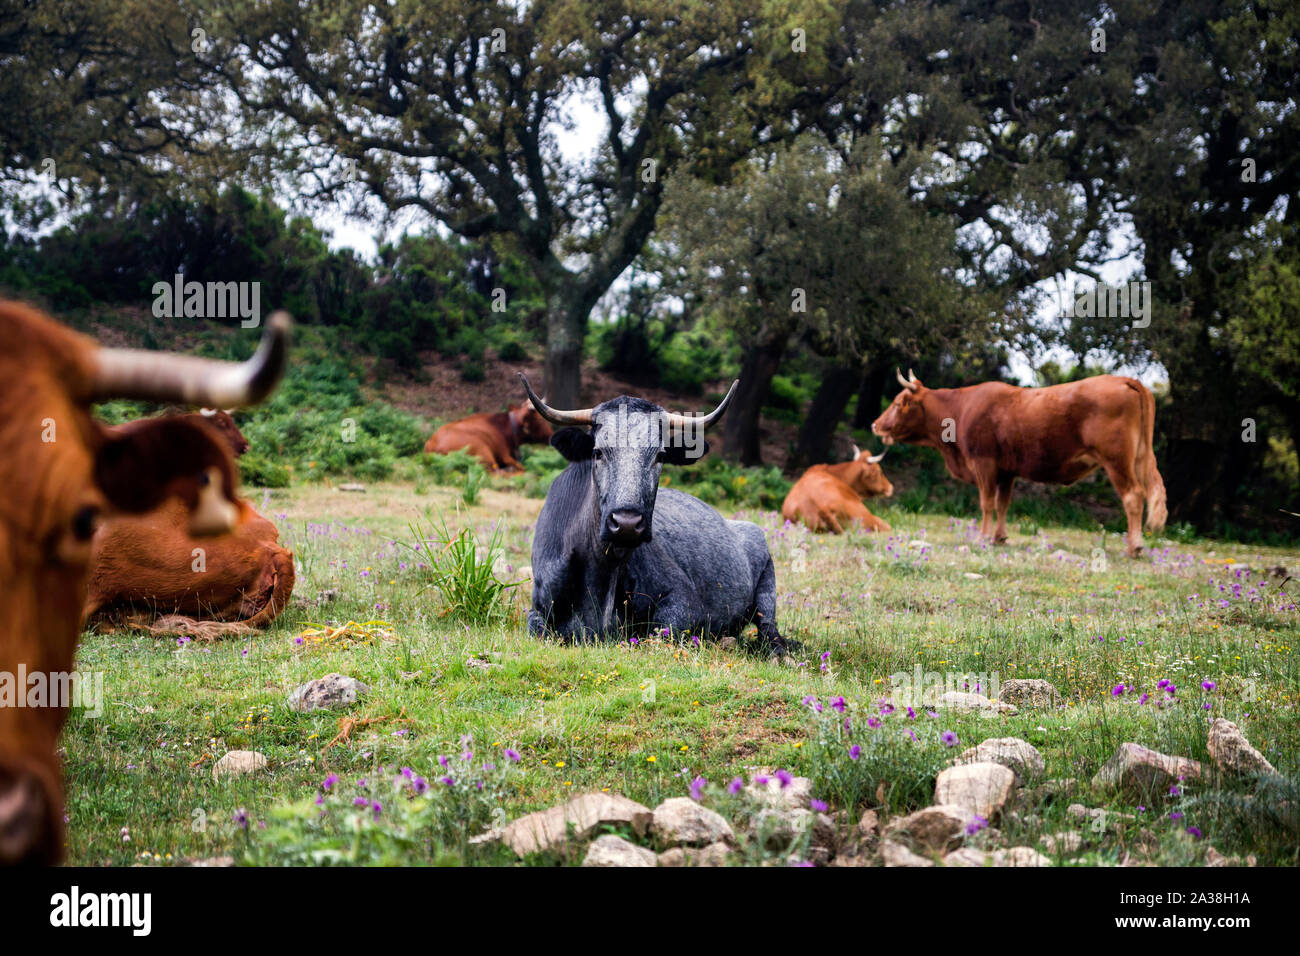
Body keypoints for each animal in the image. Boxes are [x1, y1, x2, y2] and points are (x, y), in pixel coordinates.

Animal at [424, 399, 553, 473]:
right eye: (539, 419)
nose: (551, 435)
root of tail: (432, 444)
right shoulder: (505, 456)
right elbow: (522, 468)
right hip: (482, 450)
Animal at [520, 376, 792, 656]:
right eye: (598, 452)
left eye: (660, 456)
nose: (627, 524)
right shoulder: (538, 608)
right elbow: (537, 628)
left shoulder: (684, 601)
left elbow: (660, 633)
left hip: (767, 589)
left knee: (769, 630)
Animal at [871, 370, 1168, 556]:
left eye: (898, 403)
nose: (875, 424)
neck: (959, 409)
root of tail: (1127, 380)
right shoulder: (1007, 472)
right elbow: (1003, 504)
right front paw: (999, 537)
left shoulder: (984, 464)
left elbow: (987, 503)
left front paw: (982, 537)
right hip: (1139, 458)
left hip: (1117, 461)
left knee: (1133, 496)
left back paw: (1134, 547)